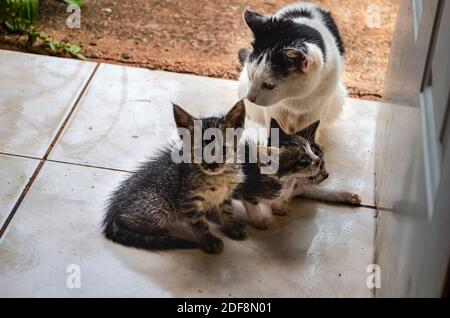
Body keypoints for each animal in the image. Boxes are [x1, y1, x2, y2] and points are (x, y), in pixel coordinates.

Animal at [102, 100, 246, 255]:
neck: (219, 176)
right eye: (199, 151)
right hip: (158, 206)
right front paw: (209, 240)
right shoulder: (187, 199)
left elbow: (227, 211)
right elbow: (199, 223)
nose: (212, 165)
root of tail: (112, 212)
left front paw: (232, 226)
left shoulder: (226, 194)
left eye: (224, 149)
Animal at [237, 2, 346, 136]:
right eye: (250, 76)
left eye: (269, 85)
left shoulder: (317, 110)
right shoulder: (275, 108)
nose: (250, 98)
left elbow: (311, 129)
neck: (296, 98)